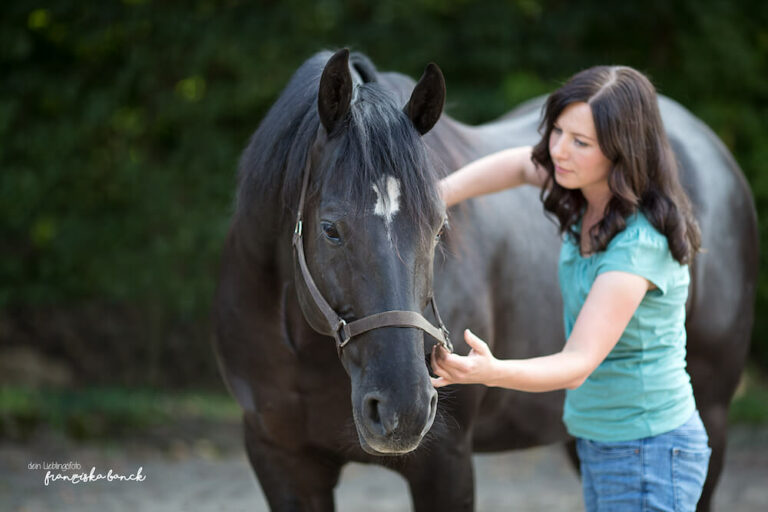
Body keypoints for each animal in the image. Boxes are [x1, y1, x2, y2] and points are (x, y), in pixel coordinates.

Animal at [213, 49, 760, 512]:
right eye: (330, 229)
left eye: (439, 227)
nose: (404, 409)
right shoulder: (280, 458)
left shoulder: (445, 460)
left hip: (711, 417)